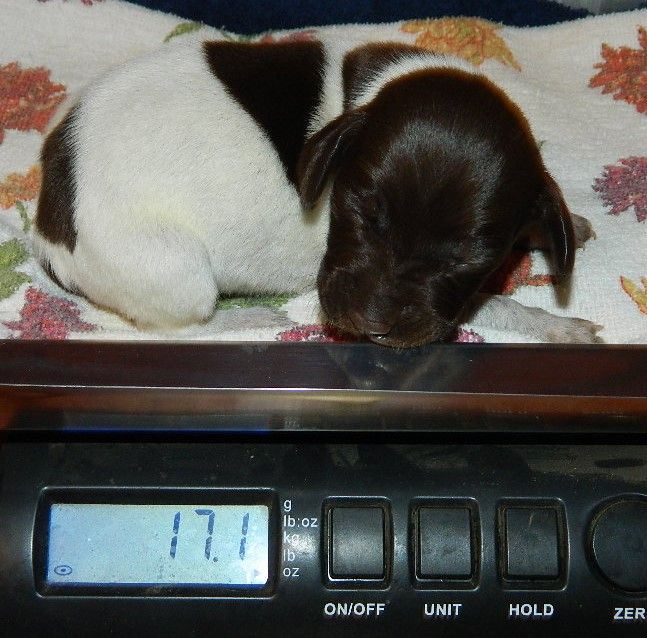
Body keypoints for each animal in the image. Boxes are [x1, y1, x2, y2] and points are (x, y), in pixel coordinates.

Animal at [33, 37, 600, 345]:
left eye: (469, 258)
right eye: (361, 212)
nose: (369, 322)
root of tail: (45, 231)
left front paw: (565, 225)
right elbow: (488, 306)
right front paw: (555, 326)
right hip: (177, 270)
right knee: (176, 328)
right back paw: (248, 317)